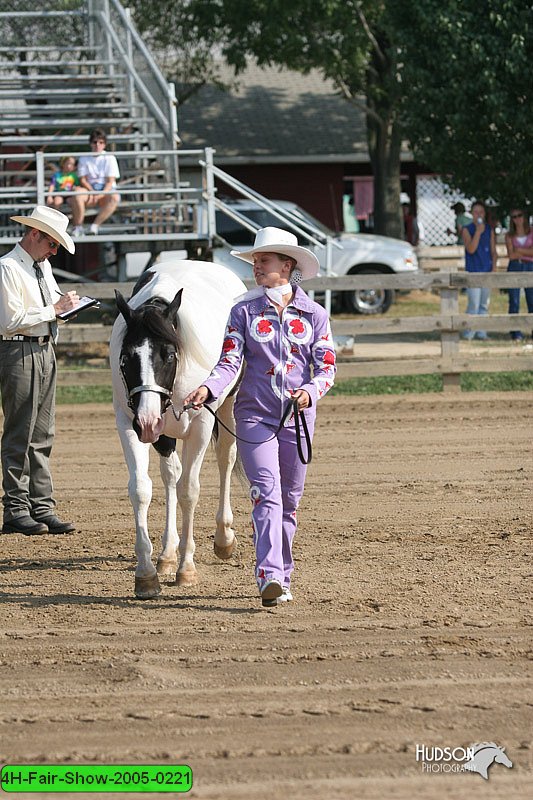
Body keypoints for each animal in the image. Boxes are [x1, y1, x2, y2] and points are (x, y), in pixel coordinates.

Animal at [111, 260, 248, 596]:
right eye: (126, 358)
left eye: (169, 354)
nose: (147, 419)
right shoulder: (129, 424)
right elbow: (141, 489)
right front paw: (147, 572)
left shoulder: (201, 425)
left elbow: (189, 491)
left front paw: (187, 568)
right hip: (163, 434)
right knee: (170, 474)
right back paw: (167, 554)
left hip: (227, 406)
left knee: (225, 458)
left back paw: (223, 538)